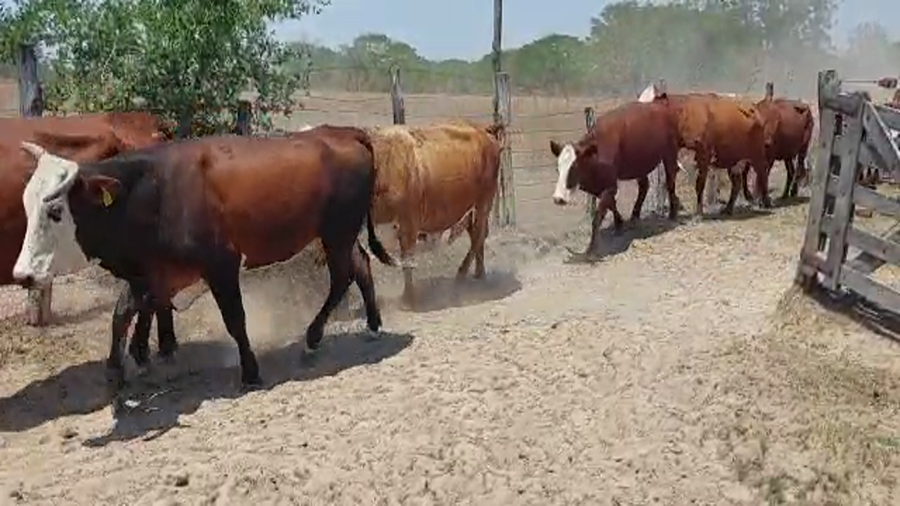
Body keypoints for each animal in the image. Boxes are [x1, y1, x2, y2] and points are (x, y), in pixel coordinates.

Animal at [12, 126, 397, 413]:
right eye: (27, 205)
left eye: (55, 211)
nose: (22, 274)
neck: (155, 191)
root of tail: (344, 133)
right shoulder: (151, 274)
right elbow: (122, 314)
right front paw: (116, 374)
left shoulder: (221, 265)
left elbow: (235, 319)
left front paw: (250, 370)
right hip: (340, 234)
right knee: (360, 266)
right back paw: (372, 324)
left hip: (337, 232)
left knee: (342, 277)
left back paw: (314, 337)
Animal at [549, 100, 681, 256]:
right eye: (558, 168)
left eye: (574, 168)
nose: (558, 198)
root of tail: (661, 104)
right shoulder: (601, 186)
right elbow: (611, 204)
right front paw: (619, 224)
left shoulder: (610, 185)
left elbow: (598, 216)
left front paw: (592, 248)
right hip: (639, 164)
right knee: (644, 185)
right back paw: (635, 216)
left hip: (670, 153)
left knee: (670, 181)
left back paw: (673, 213)